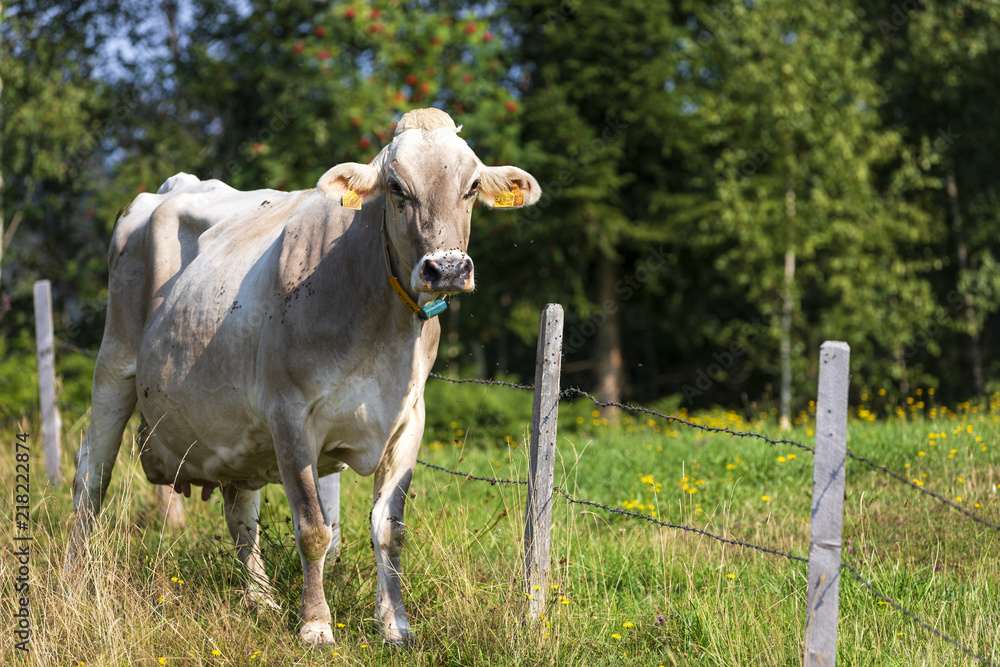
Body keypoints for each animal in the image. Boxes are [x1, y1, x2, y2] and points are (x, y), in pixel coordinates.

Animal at [65, 108, 541, 646]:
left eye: (472, 185)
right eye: (396, 187)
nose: (447, 269)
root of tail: (169, 187)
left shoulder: (408, 419)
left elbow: (390, 528)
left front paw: (395, 624)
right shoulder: (289, 414)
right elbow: (314, 529)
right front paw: (315, 625)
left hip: (232, 426)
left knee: (240, 513)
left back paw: (261, 600)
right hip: (114, 362)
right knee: (91, 479)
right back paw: (74, 583)